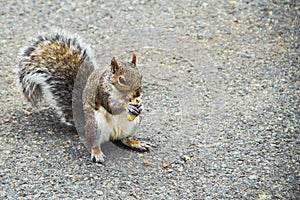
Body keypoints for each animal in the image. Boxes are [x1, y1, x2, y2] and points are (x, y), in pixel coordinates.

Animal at [18, 30, 152, 162]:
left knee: (124, 139)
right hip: (95, 126)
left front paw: (141, 105)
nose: (137, 93)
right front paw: (128, 106)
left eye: (140, 75)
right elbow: (111, 107)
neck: (121, 94)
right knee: (94, 143)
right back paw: (97, 153)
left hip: (132, 124)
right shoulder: (102, 92)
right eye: (121, 80)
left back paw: (135, 143)